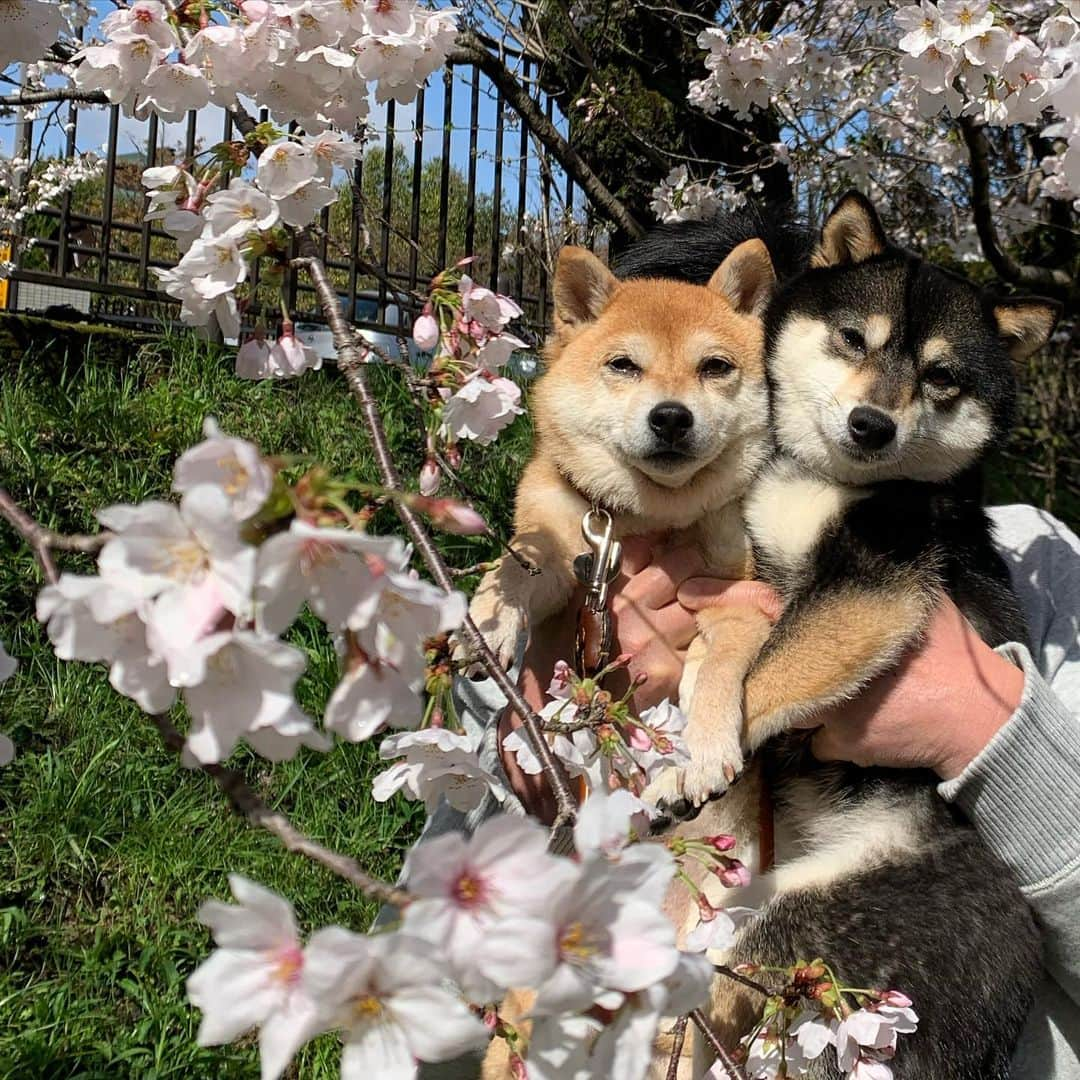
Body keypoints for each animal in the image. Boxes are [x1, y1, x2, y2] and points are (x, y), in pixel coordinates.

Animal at [622, 196, 1058, 1080]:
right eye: (854, 338)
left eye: (941, 376)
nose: (872, 424)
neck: (825, 483)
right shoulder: (755, 566)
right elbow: (728, 658)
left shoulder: (872, 586)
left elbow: (771, 670)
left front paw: (694, 758)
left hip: (811, 926)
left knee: (739, 986)